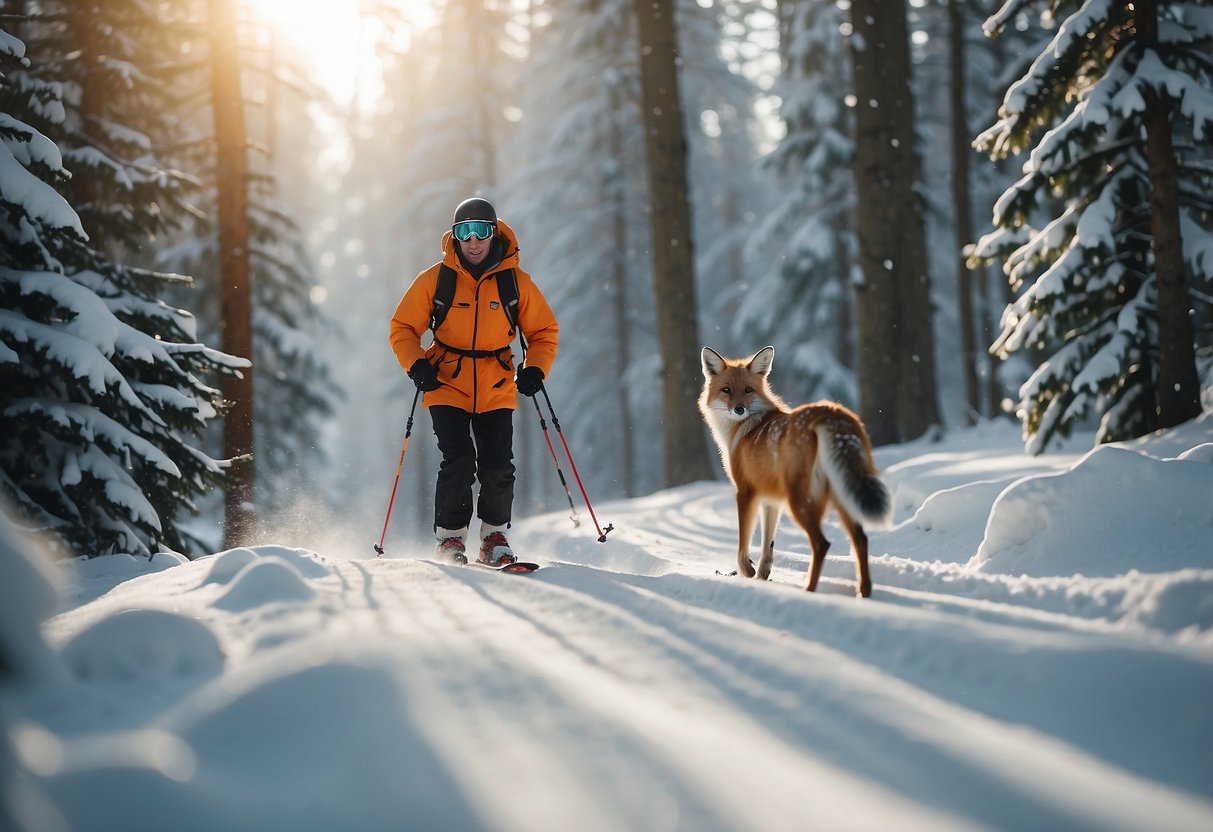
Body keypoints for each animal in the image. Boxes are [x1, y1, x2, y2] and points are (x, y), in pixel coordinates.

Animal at [703, 346, 892, 599]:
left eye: (748, 390)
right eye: (726, 390)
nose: (739, 409)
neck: (745, 429)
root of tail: (829, 410)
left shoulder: (745, 492)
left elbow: (743, 543)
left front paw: (747, 573)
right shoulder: (770, 499)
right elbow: (768, 546)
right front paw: (762, 576)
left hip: (799, 500)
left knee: (822, 543)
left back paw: (809, 590)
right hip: (840, 495)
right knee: (860, 538)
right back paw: (864, 592)